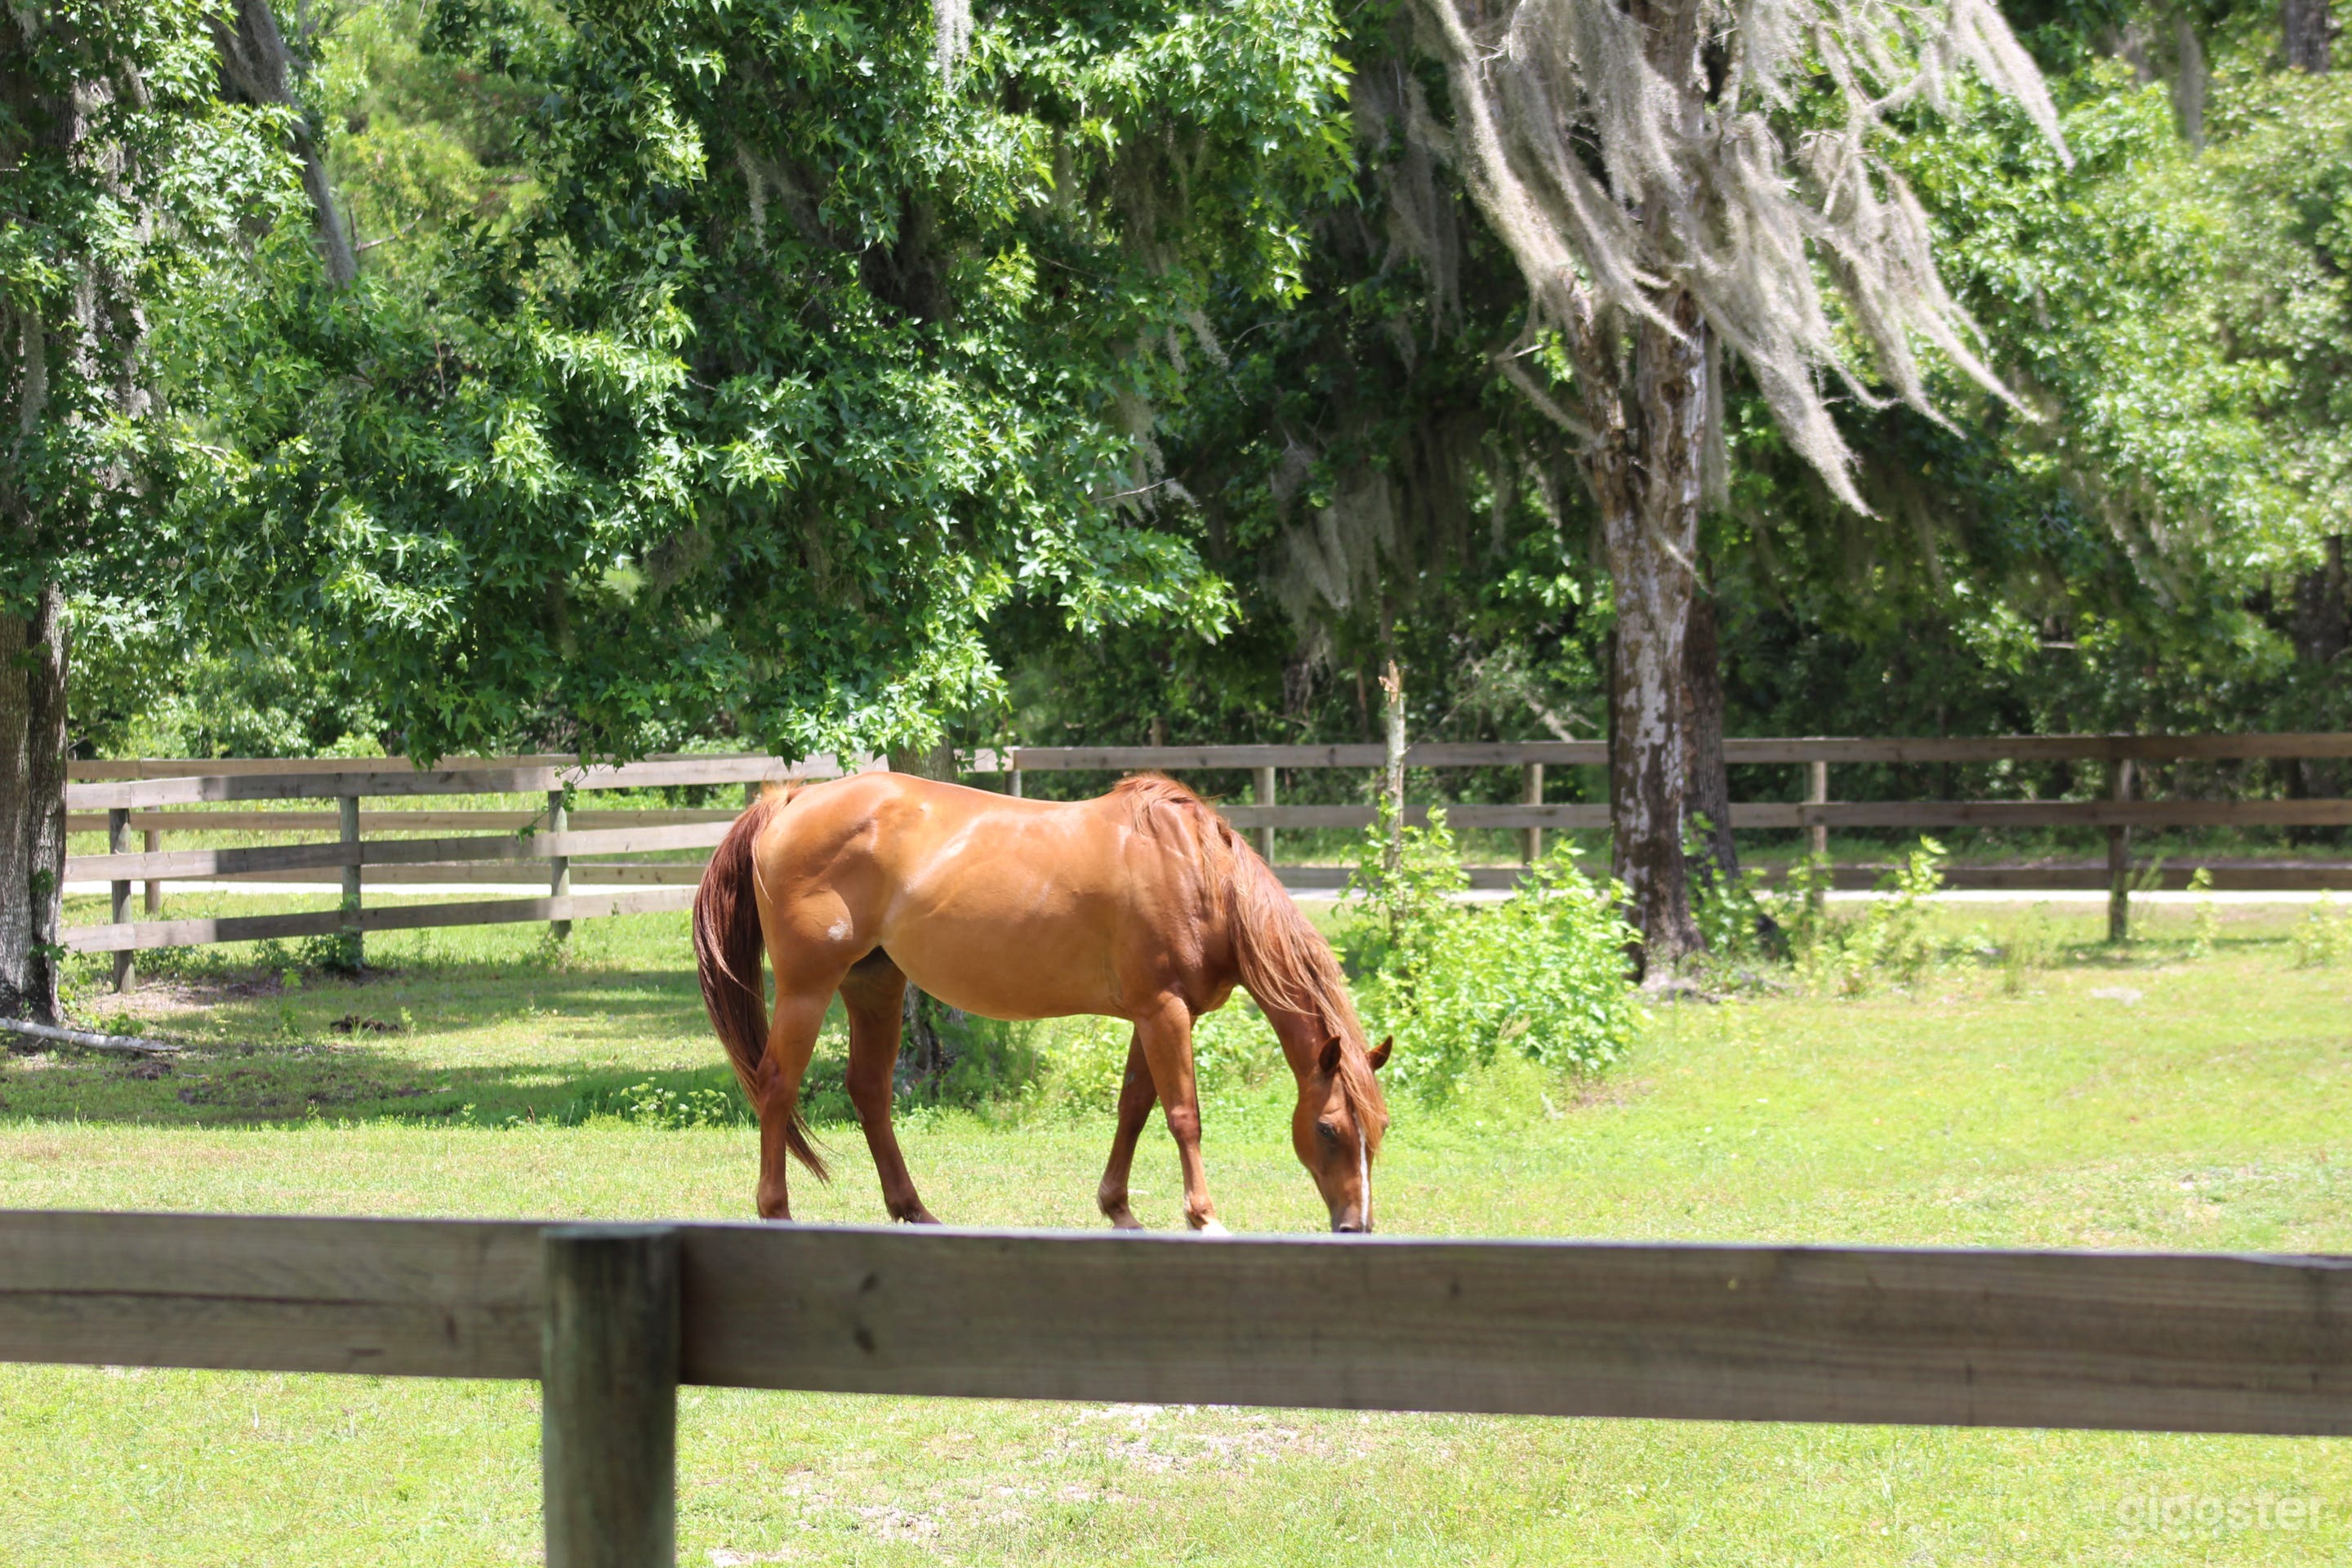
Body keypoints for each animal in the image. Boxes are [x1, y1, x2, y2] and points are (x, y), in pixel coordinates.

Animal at [691, 771, 1390, 1233]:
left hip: (875, 984)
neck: (1196, 873)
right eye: (1328, 1129)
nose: (1355, 1227)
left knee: (869, 1091)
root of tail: (792, 799)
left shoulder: (1153, 1014)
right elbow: (1183, 1115)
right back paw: (777, 1211)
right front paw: (1203, 1217)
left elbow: (1133, 1108)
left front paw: (1119, 1209)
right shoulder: (1165, 1012)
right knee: (777, 1085)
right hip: (808, 989)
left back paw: (913, 1209)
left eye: (1378, 1132)